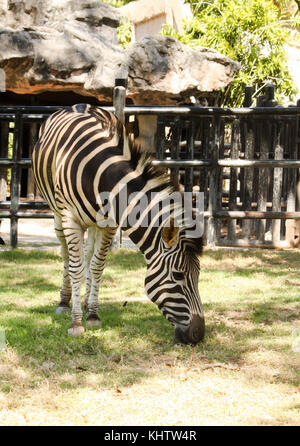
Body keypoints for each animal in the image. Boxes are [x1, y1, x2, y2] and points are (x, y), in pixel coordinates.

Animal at [32, 104, 205, 344]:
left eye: (198, 275)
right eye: (178, 275)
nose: (199, 334)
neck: (101, 176)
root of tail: (78, 105)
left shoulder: (109, 224)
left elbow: (97, 266)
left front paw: (93, 314)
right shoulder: (71, 219)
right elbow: (76, 268)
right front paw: (76, 323)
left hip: (94, 223)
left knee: (88, 254)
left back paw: (85, 301)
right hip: (57, 213)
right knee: (66, 254)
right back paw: (65, 301)